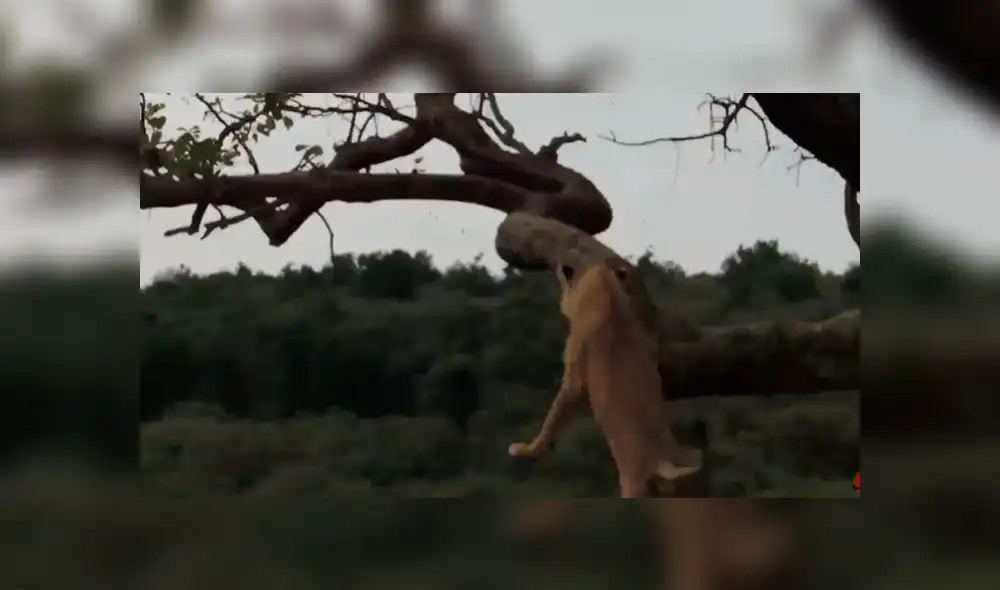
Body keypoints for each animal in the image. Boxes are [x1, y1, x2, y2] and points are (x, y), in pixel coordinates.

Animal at [508, 259, 702, 497]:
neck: (607, 289)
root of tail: (666, 463)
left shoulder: (575, 373)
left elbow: (556, 412)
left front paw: (527, 450)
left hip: (633, 484)